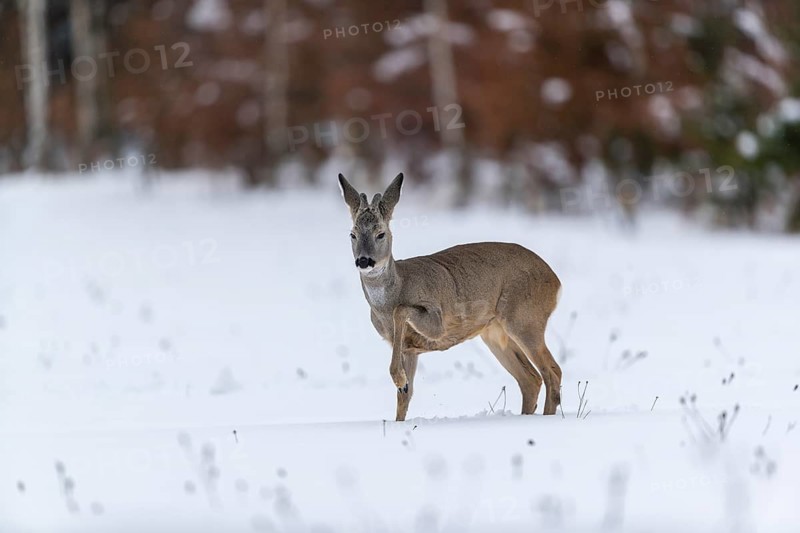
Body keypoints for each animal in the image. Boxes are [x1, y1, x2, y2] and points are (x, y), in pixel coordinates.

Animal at [338, 172, 563, 421]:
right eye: (352, 234)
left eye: (381, 234)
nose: (364, 261)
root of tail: (555, 281)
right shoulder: (408, 348)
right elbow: (405, 397)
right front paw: (401, 391)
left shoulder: (437, 323)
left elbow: (402, 310)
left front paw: (398, 378)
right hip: (495, 333)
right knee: (530, 379)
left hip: (525, 320)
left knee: (552, 371)